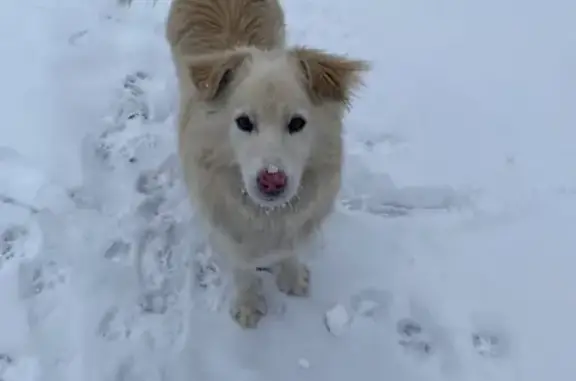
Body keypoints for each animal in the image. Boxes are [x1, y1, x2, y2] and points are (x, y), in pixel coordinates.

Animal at [160, 0, 368, 326]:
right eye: (244, 122)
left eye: (297, 123)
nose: (272, 179)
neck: (268, 216)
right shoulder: (222, 228)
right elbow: (242, 269)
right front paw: (248, 306)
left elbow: (290, 250)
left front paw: (292, 279)